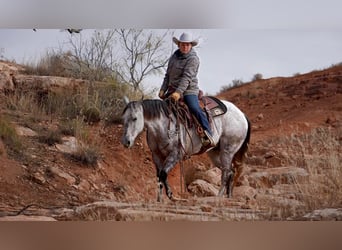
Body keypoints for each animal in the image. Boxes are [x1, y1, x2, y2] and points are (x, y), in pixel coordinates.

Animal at [121, 98, 250, 201]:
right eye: (123, 118)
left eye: (134, 118)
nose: (126, 141)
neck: (163, 126)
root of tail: (242, 115)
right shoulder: (156, 156)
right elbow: (159, 176)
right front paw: (160, 199)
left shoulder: (175, 154)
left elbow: (163, 174)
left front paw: (170, 195)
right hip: (215, 153)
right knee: (231, 172)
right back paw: (228, 196)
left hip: (227, 151)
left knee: (226, 172)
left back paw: (219, 196)